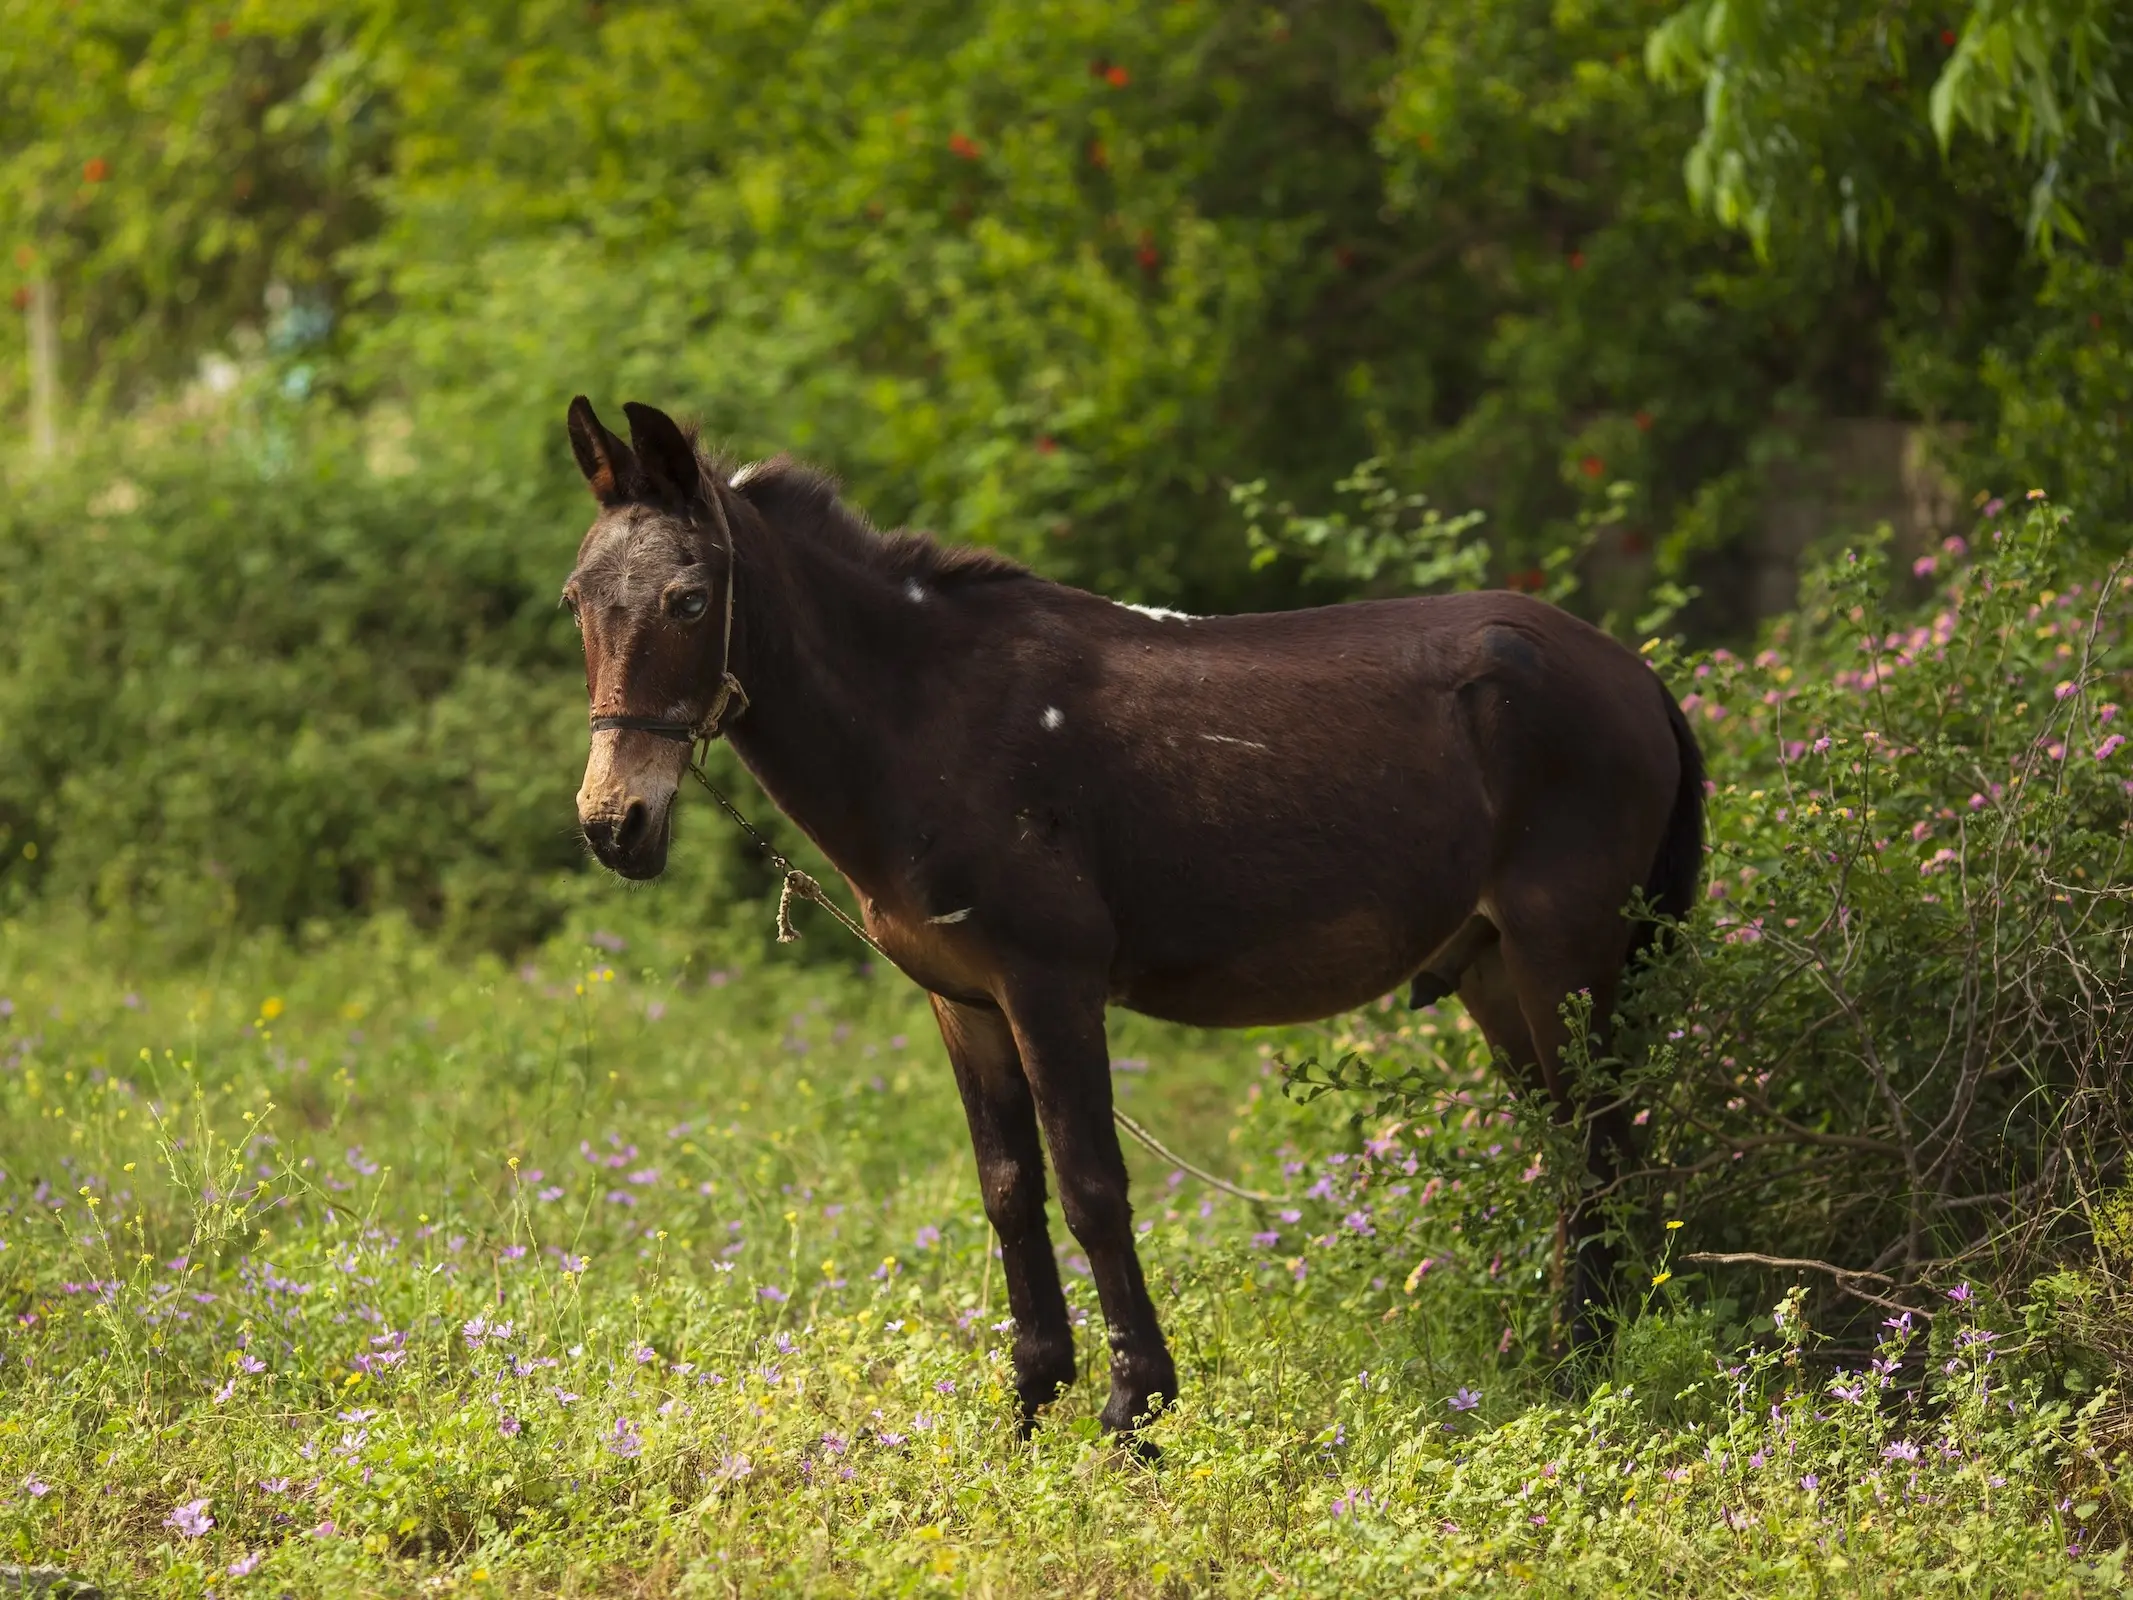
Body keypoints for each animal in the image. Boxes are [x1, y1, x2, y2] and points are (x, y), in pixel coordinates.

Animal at [563, 394, 1697, 1433]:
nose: (614, 824)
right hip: (1496, 968)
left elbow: (1091, 1186)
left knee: (1599, 1150)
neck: (926, 717)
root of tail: (1637, 673)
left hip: (1565, 953)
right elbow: (1009, 1190)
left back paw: (1582, 1371)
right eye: (579, 598)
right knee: (1576, 1151)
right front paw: (1031, 1400)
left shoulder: (1050, 983)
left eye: (690, 599)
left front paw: (1132, 1408)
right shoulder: (962, 1000)